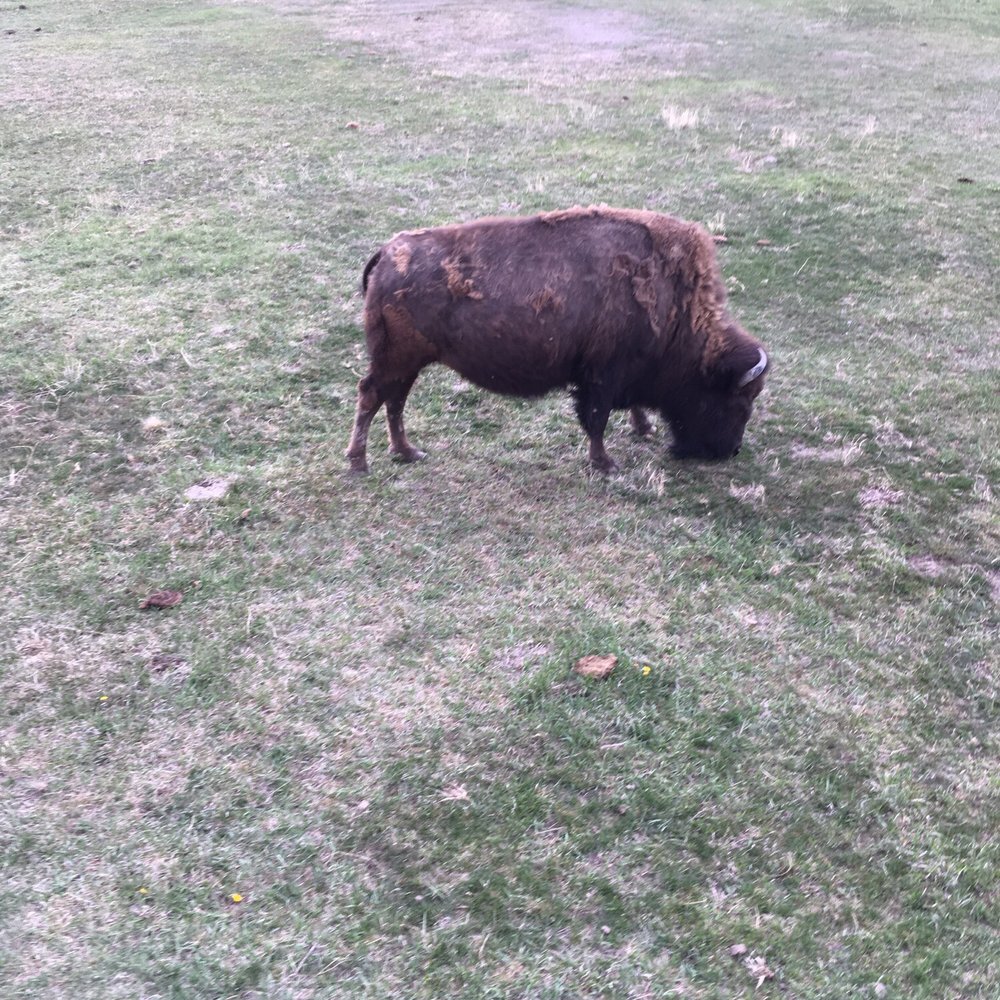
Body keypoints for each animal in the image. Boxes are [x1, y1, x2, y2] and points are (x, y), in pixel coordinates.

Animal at [346, 206, 769, 474]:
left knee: (394, 401)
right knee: (372, 395)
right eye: (737, 402)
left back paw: (407, 452)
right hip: (394, 359)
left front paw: (642, 428)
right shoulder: (602, 376)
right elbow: (596, 418)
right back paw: (360, 463)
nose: (730, 451)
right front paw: (605, 463)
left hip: (408, 362)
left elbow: (623, 408)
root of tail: (388, 251)